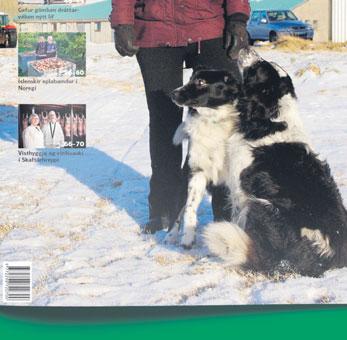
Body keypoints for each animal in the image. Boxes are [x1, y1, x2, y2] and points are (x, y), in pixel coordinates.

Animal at [169, 48, 347, 276]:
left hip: (261, 204)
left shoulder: (240, 189)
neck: (269, 122)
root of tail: (325, 255)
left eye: (260, 69)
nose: (247, 48)